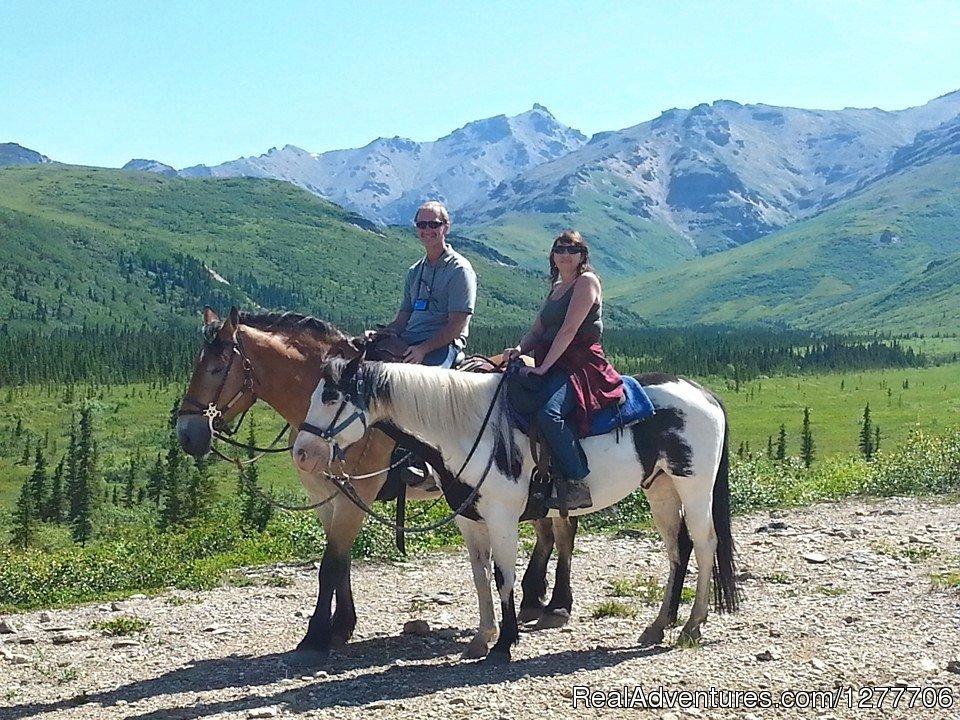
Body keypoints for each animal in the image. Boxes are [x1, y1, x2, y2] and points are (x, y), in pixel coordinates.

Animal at [173, 306, 576, 660]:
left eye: (216, 368)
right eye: (194, 366)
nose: (187, 435)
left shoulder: (357, 493)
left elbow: (331, 565)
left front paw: (316, 636)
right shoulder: (326, 496)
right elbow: (340, 561)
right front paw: (341, 627)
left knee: (563, 532)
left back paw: (558, 604)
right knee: (546, 533)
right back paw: (531, 599)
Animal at [296, 358, 740, 660]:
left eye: (331, 397)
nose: (302, 453)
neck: (466, 429)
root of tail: (704, 394)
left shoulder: (502, 517)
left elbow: (503, 576)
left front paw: (505, 644)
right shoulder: (469, 520)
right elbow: (480, 578)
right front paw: (482, 638)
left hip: (693, 487)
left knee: (704, 543)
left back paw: (692, 626)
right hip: (660, 488)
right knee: (678, 549)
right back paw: (659, 626)